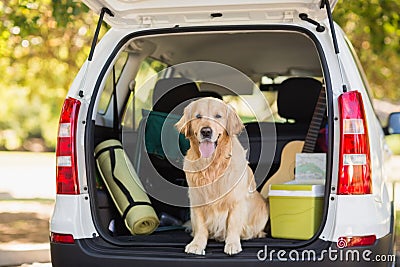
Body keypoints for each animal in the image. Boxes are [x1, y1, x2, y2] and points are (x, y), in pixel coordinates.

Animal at [176, 98, 268, 255]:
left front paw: (232, 244)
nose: (206, 131)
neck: (211, 165)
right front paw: (197, 244)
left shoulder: (236, 201)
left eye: (218, 116)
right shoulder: (197, 199)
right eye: (198, 116)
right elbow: (200, 226)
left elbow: (233, 224)